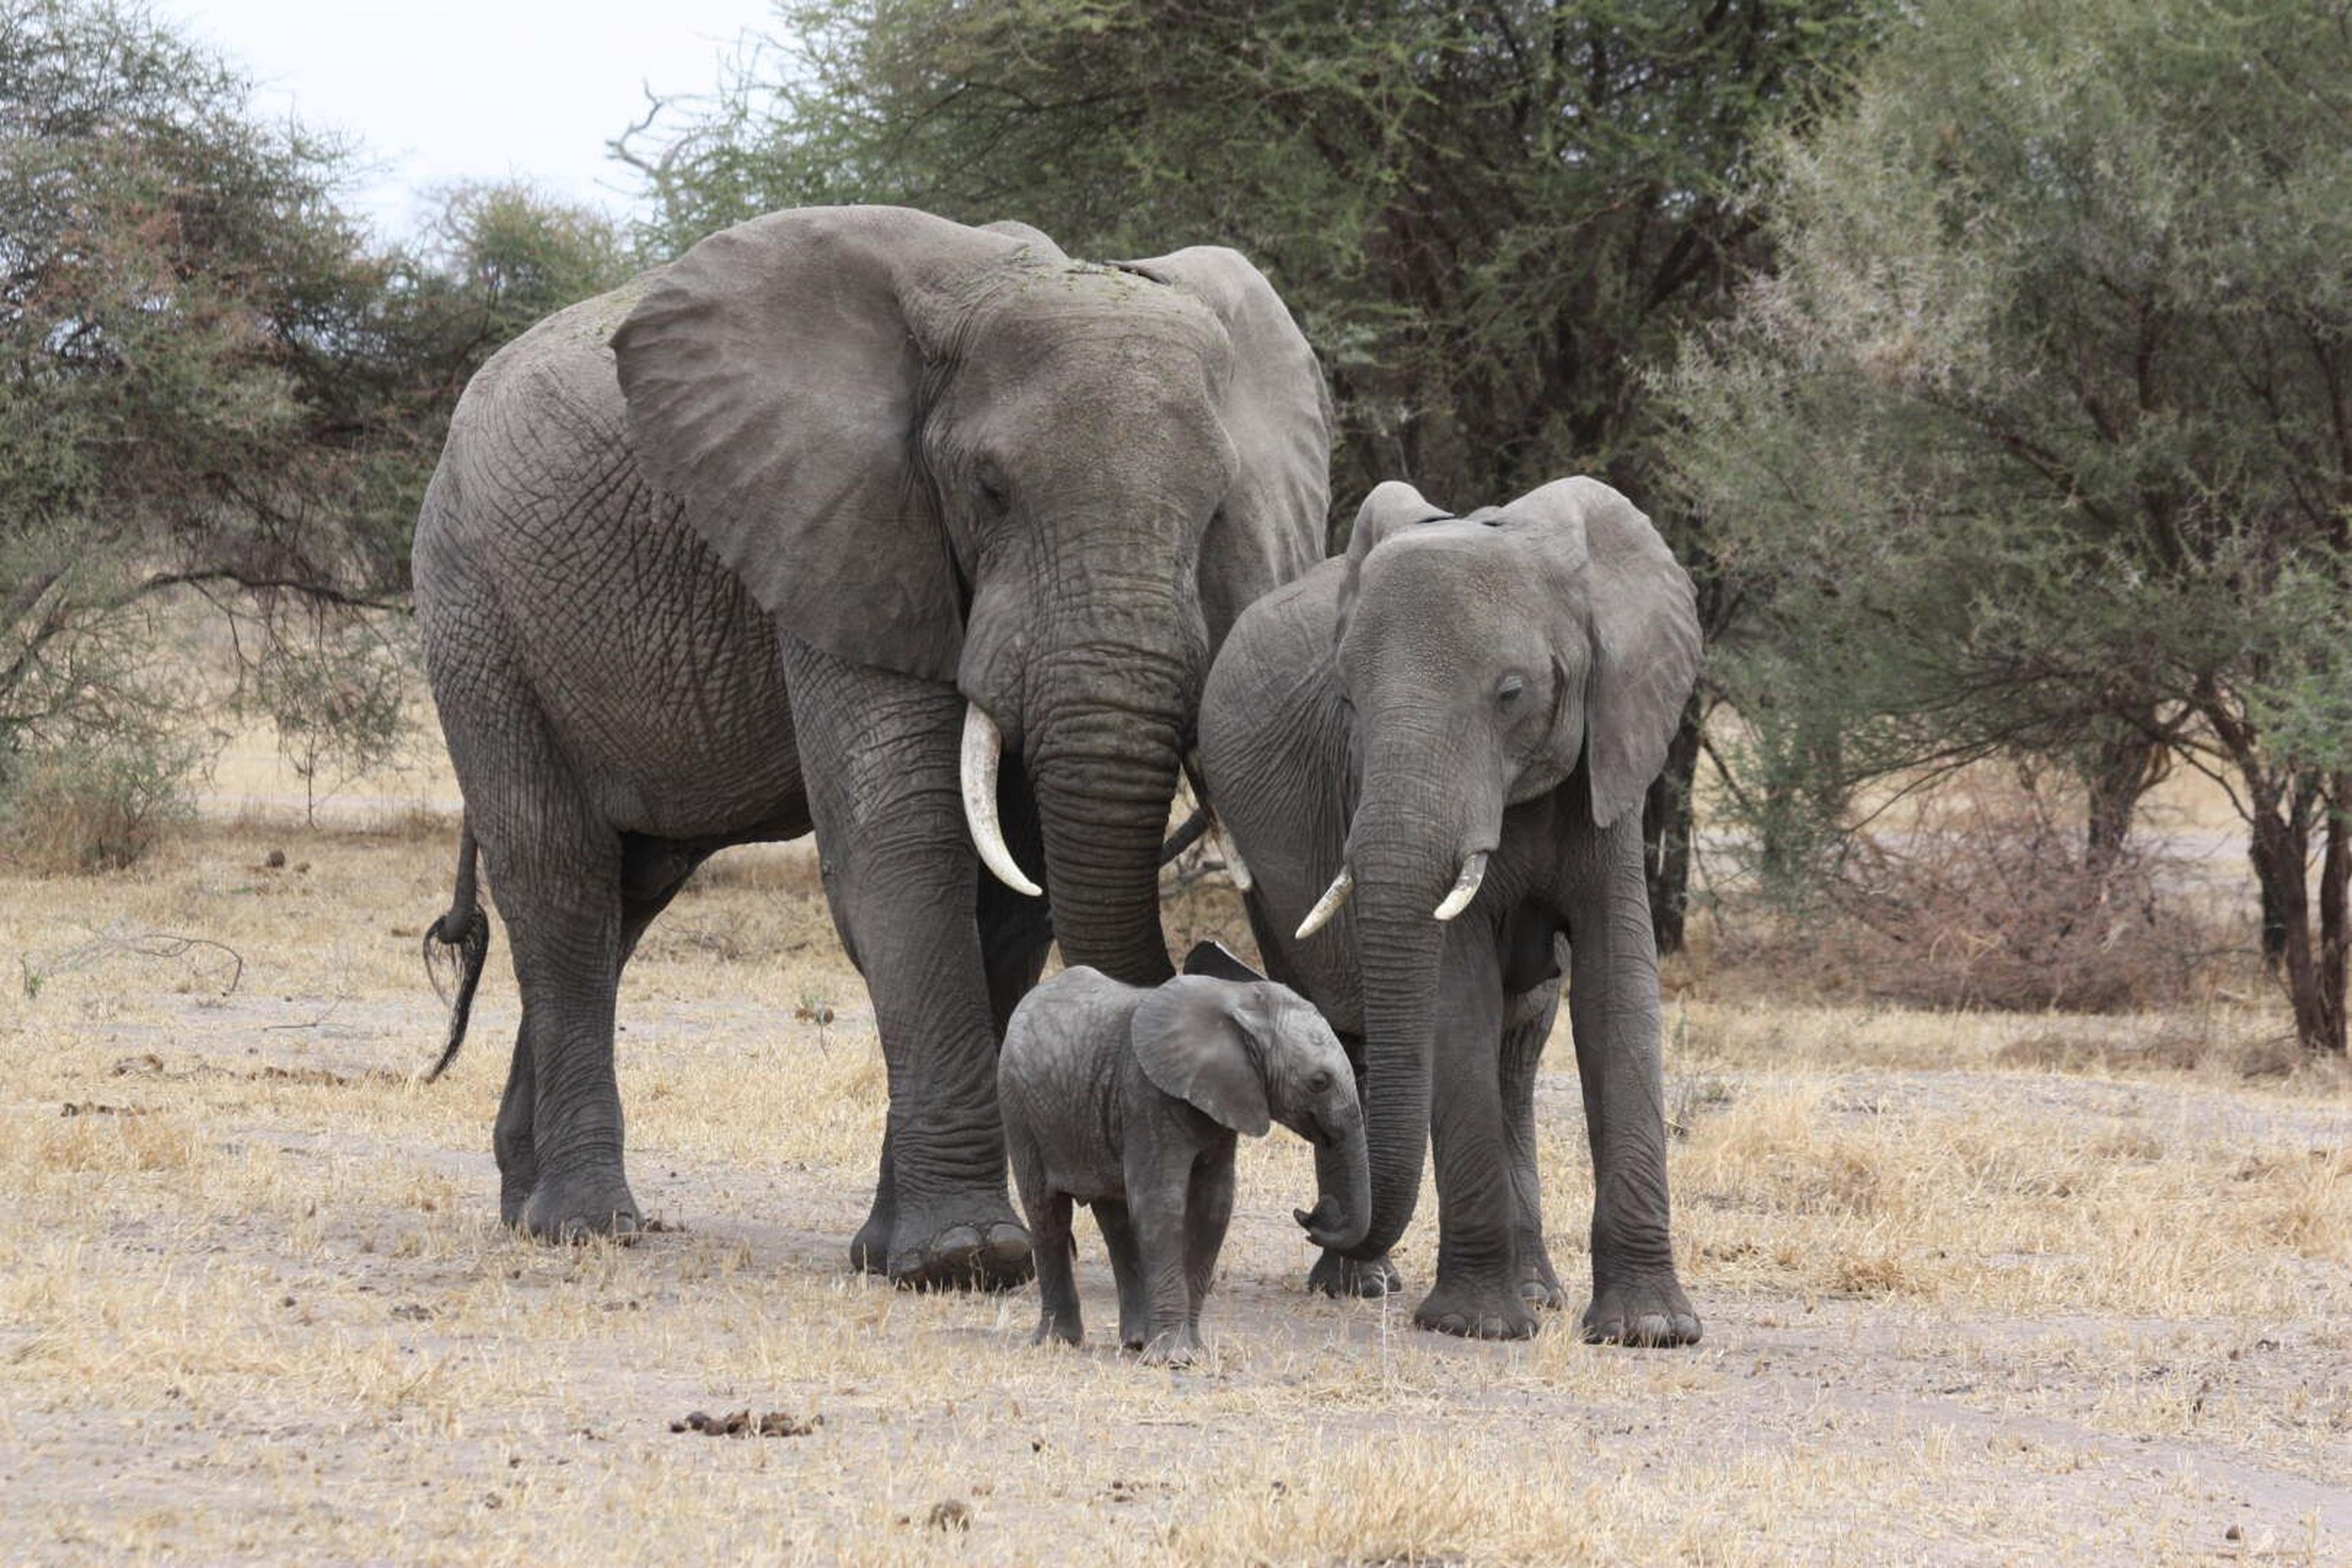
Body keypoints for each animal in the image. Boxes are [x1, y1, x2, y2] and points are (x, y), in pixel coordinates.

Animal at [413, 208, 1336, 1288]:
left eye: (1219, 506)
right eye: (989, 488)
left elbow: (1013, 895)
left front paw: (899, 1254)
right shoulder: (847, 533)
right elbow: (905, 849)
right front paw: (964, 1258)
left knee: (628, 896)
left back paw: (524, 1204)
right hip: (473, 605)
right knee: (558, 876)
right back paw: (584, 1225)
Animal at [997, 959, 1373, 1363]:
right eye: (1319, 1082)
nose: (1312, 1213)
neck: (1240, 1000)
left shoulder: (1224, 1102)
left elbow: (1213, 1207)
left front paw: (1192, 1350)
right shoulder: (1147, 1095)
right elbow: (1161, 1204)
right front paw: (1174, 1358)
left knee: (1115, 1220)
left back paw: (1135, 1342)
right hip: (1018, 1110)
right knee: (1047, 1212)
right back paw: (1059, 1342)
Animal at [1204, 481, 1703, 1354]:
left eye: (1510, 694)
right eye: (1346, 700)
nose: (1308, 1216)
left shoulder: (1612, 757)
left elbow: (1618, 990)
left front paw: (1650, 1330)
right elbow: (1456, 994)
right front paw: (1478, 1326)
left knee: (1519, 1046)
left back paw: (1532, 1289)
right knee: (1347, 1024)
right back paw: (1361, 1282)